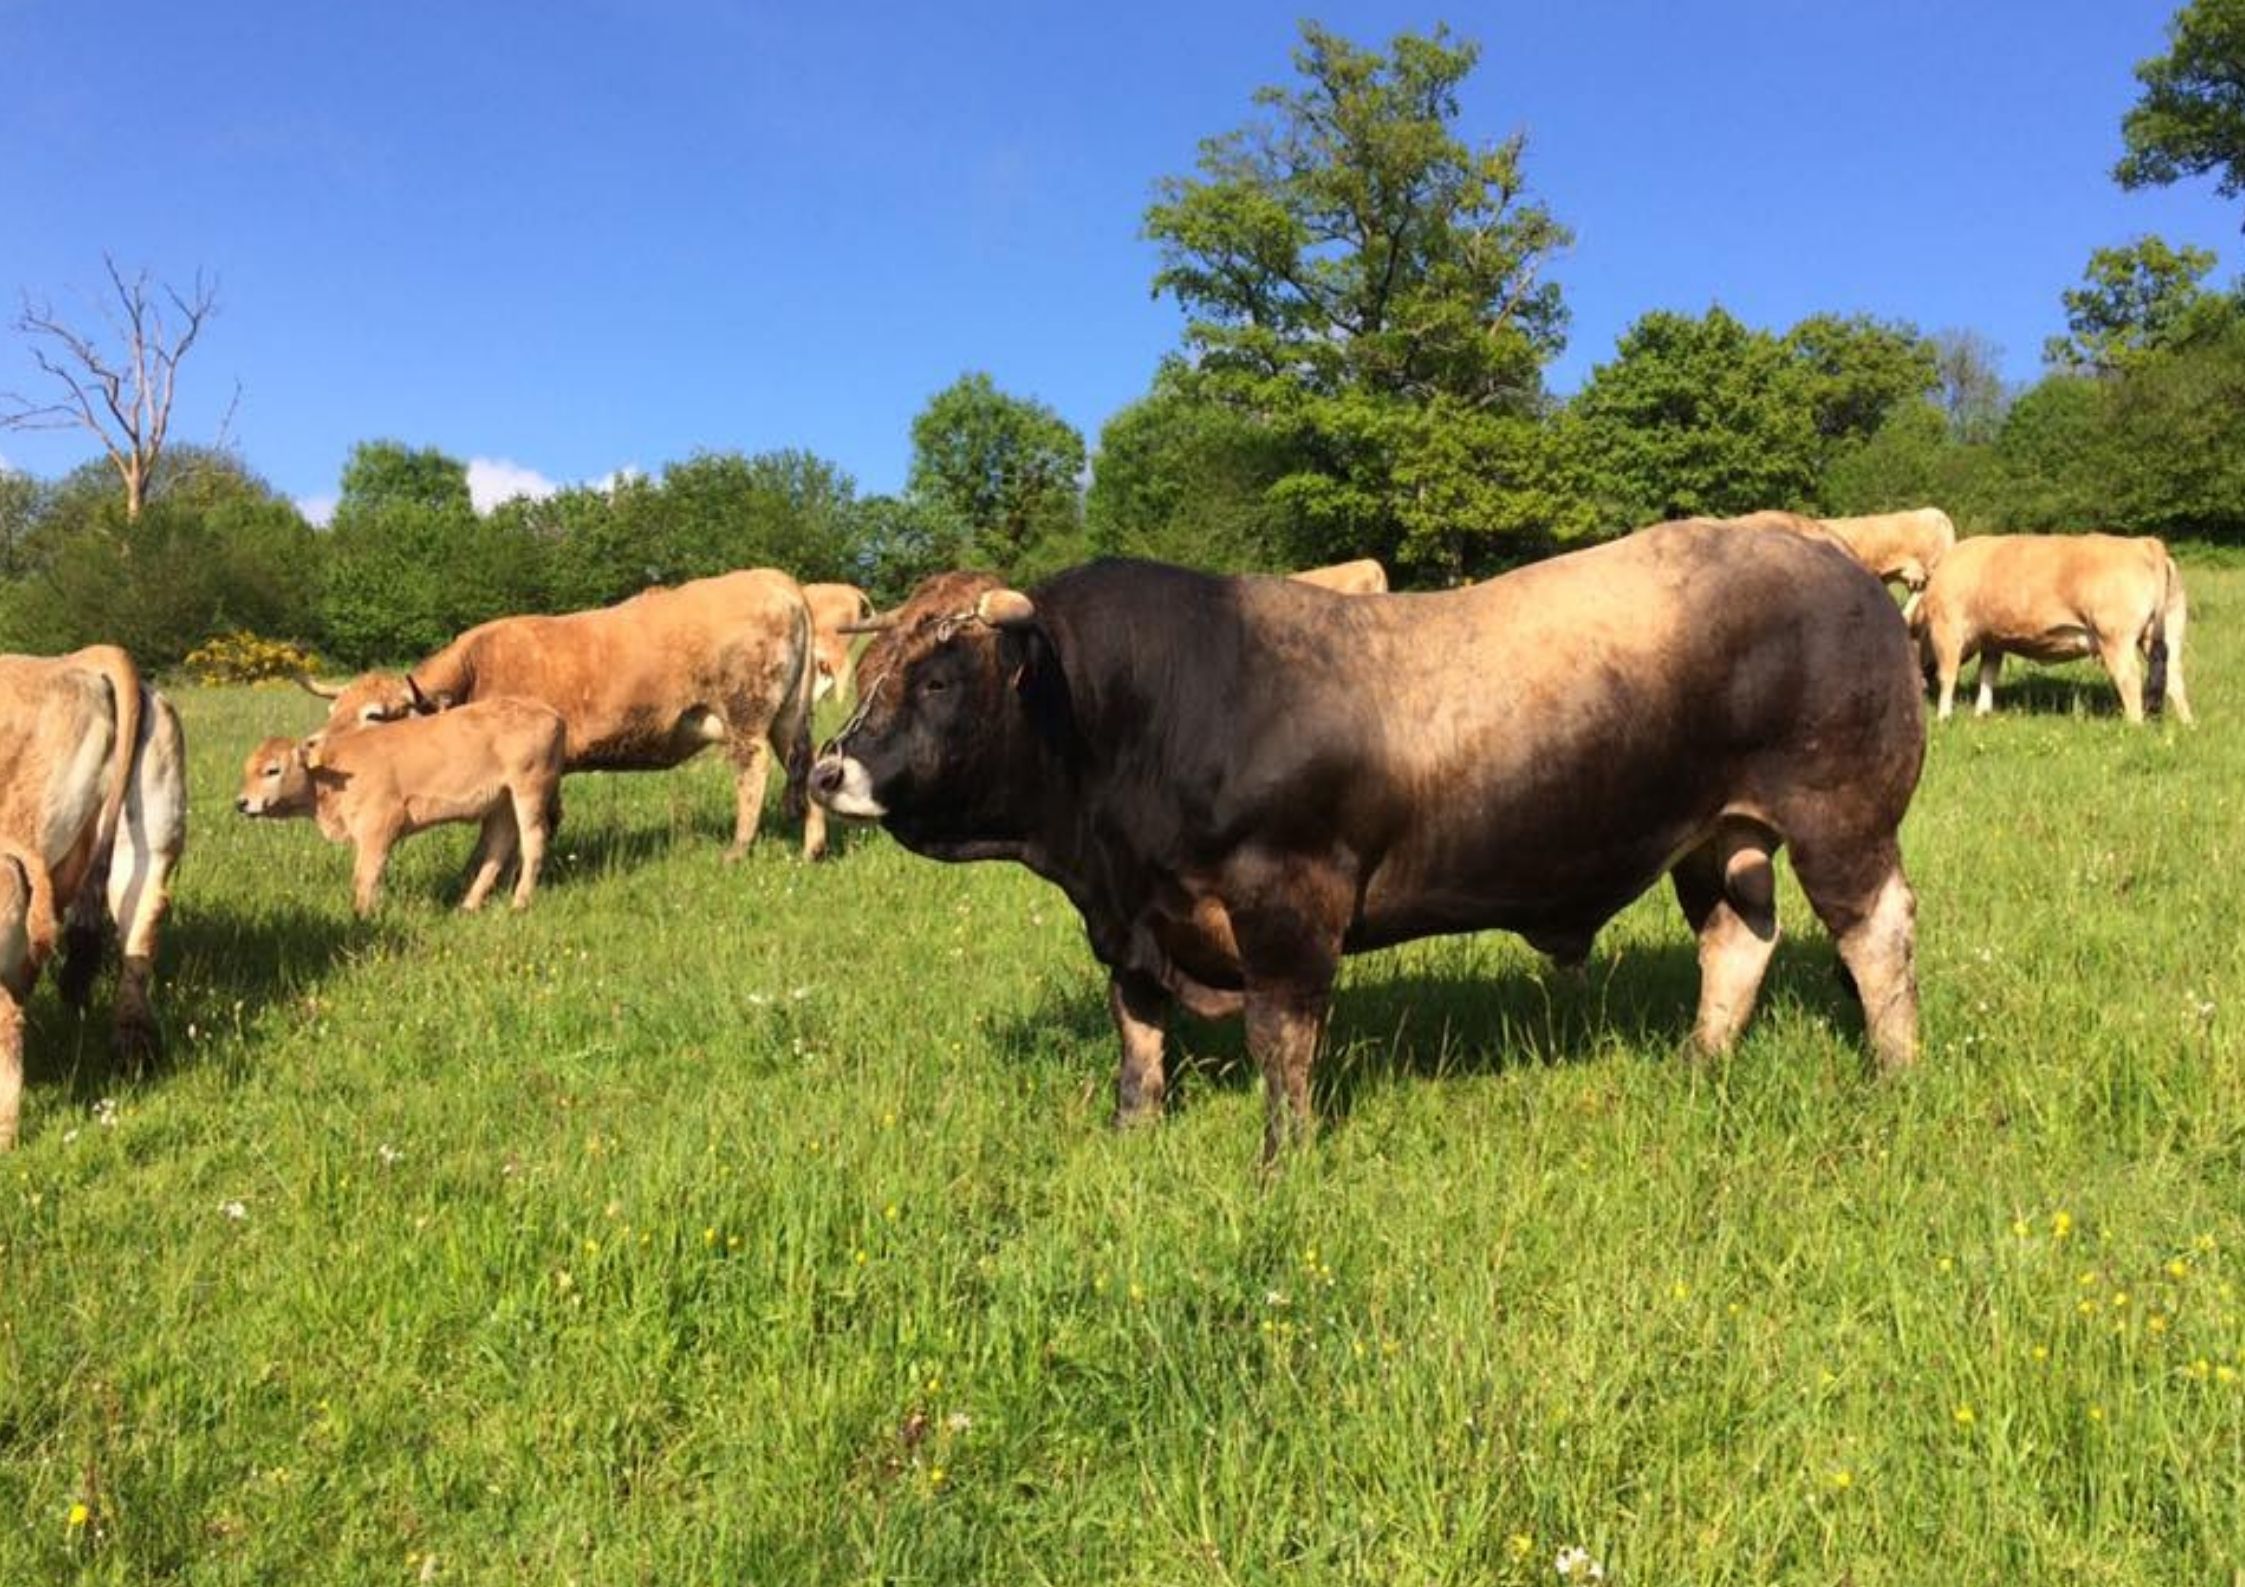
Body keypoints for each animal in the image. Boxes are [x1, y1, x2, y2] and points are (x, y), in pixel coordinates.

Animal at [235, 700, 565, 911]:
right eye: (247, 769)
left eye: (272, 770)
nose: (241, 803)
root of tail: (550, 713)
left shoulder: (379, 825)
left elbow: (365, 875)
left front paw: (363, 916)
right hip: (503, 800)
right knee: (499, 845)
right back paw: (469, 904)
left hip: (529, 789)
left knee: (533, 841)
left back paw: (519, 903)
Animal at [298, 570, 826, 861]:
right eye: (333, 709)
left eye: (374, 716)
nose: (316, 752)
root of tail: (773, 579)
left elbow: (528, 825)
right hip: (788, 717)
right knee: (807, 764)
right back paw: (812, 845)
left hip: (746, 714)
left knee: (752, 773)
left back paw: (737, 849)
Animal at [817, 527, 1921, 1158]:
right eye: (869, 669)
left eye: (939, 678)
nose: (830, 771)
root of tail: (1834, 558)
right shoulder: (1129, 922)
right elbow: (1137, 1031)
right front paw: (1132, 1134)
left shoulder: (1286, 902)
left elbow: (1281, 1037)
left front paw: (1284, 1156)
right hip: (1720, 837)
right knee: (1736, 941)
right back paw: (1699, 1061)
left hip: (1840, 819)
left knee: (1877, 938)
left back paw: (1894, 1072)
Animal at [1912, 536, 2191, 727]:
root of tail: (2144, 543)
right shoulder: (1994, 639)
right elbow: (1988, 674)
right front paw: (1982, 712)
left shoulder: (1947, 629)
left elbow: (1948, 675)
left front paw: (1943, 716)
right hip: (2165, 634)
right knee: (2174, 678)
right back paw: (2187, 723)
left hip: (2115, 639)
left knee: (2130, 678)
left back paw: (2134, 725)